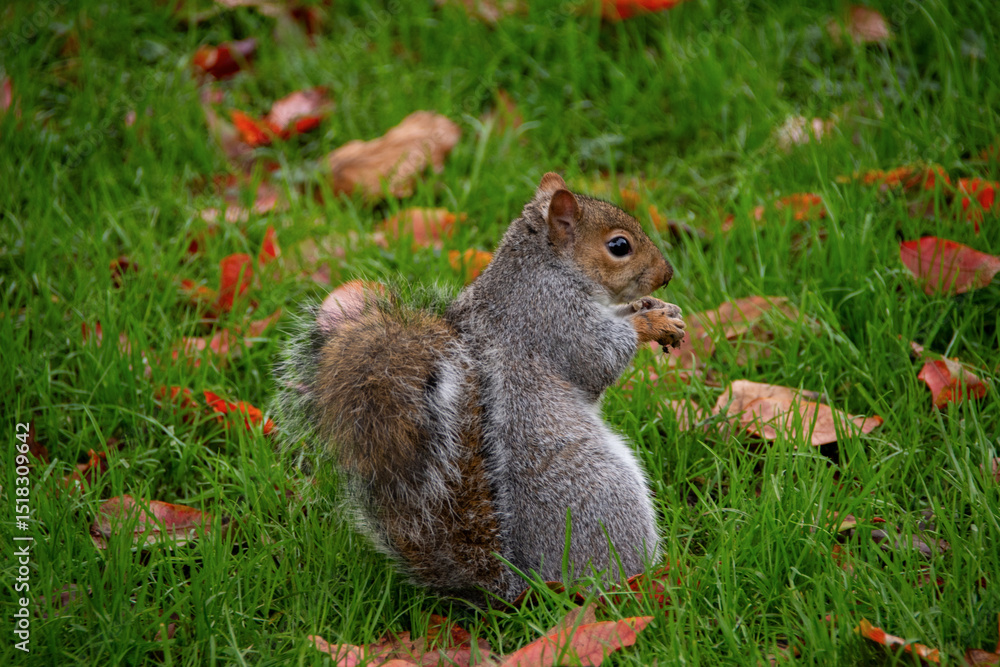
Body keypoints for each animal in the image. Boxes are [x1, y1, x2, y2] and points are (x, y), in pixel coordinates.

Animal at [275, 173, 686, 606]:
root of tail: (519, 587)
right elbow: (597, 359)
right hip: (607, 496)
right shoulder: (552, 317)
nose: (667, 274)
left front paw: (656, 307)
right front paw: (650, 322)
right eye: (619, 246)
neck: (544, 265)